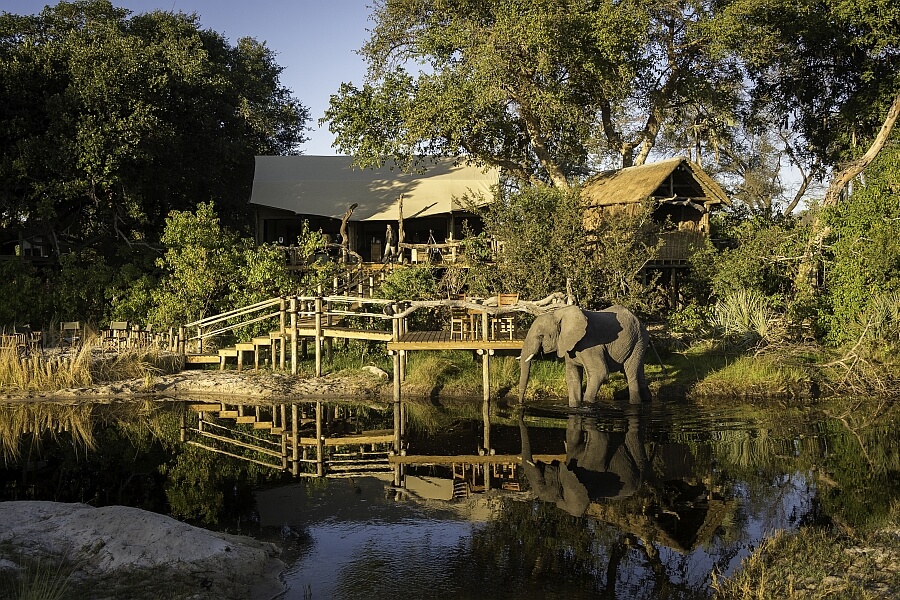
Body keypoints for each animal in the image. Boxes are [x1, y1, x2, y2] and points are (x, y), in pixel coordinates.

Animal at [518, 304, 651, 406]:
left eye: (540, 336)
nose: (521, 403)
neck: (559, 314)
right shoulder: (569, 345)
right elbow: (572, 376)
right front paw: (574, 406)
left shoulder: (590, 345)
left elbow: (599, 373)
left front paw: (587, 405)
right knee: (639, 372)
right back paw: (646, 401)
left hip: (638, 340)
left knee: (631, 372)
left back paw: (635, 404)